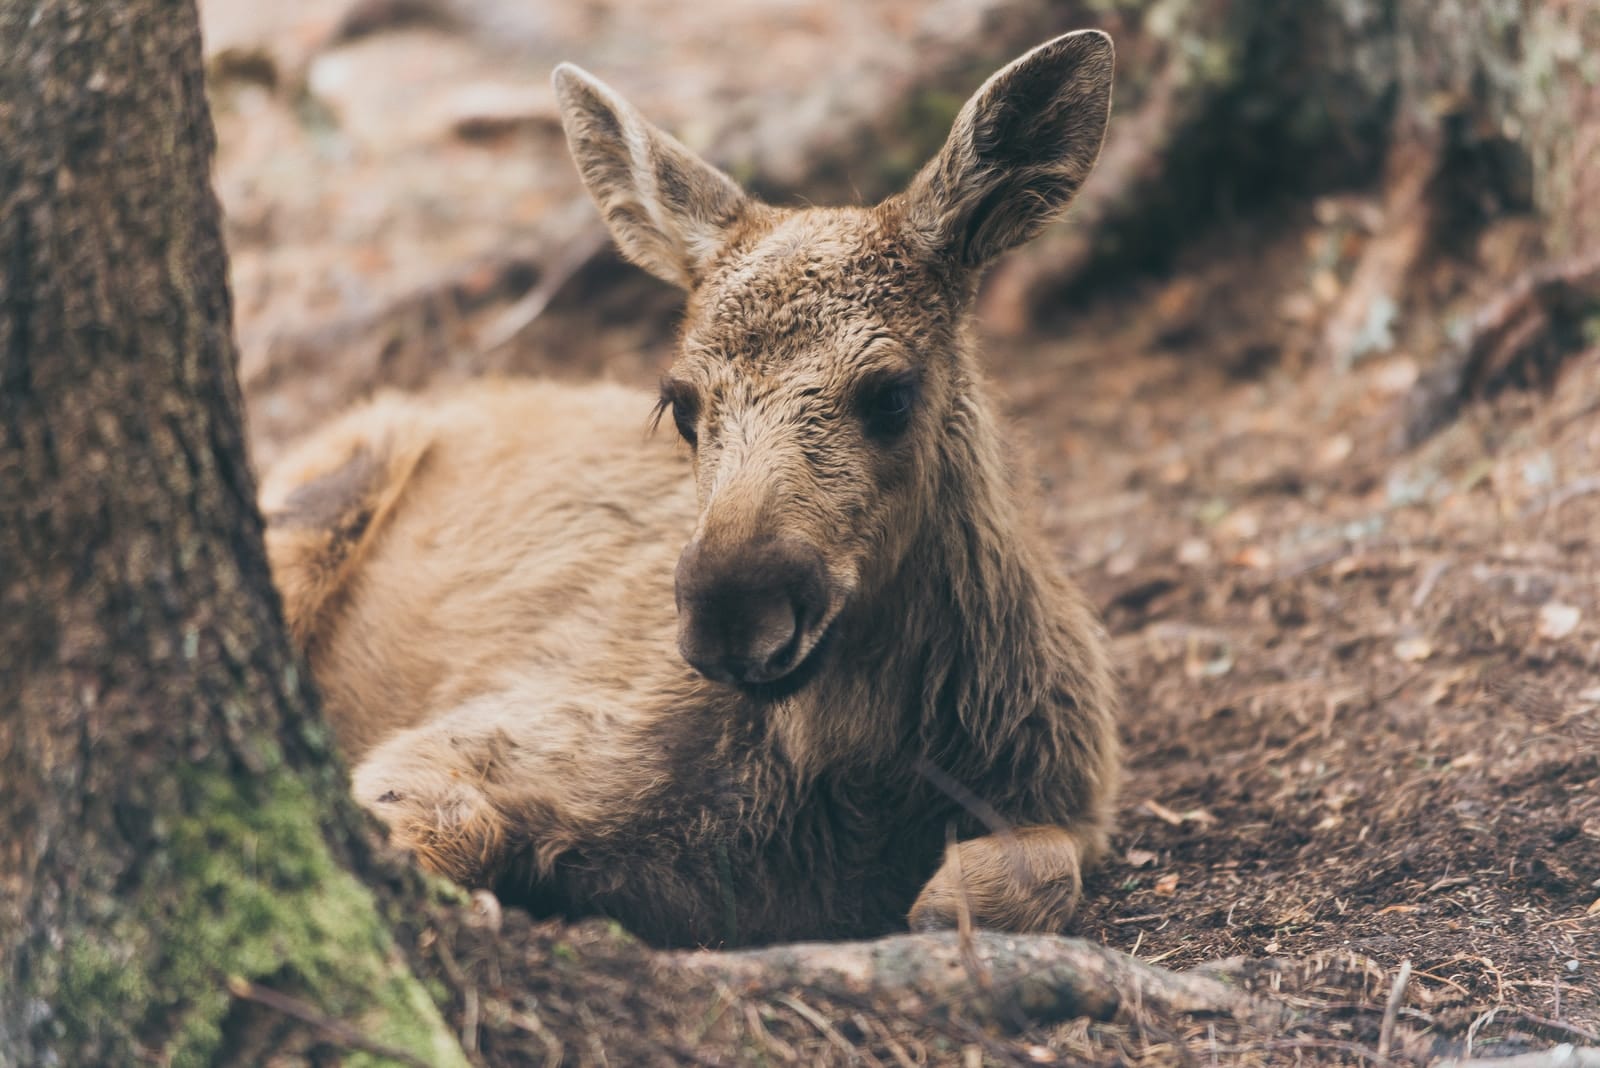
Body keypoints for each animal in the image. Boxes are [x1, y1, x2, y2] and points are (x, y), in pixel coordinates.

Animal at [259, 29, 1126, 946]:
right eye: (680, 402)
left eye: (892, 392)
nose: (734, 614)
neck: (847, 787)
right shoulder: (480, 731)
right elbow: (444, 830)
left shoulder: (1075, 797)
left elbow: (1035, 871)